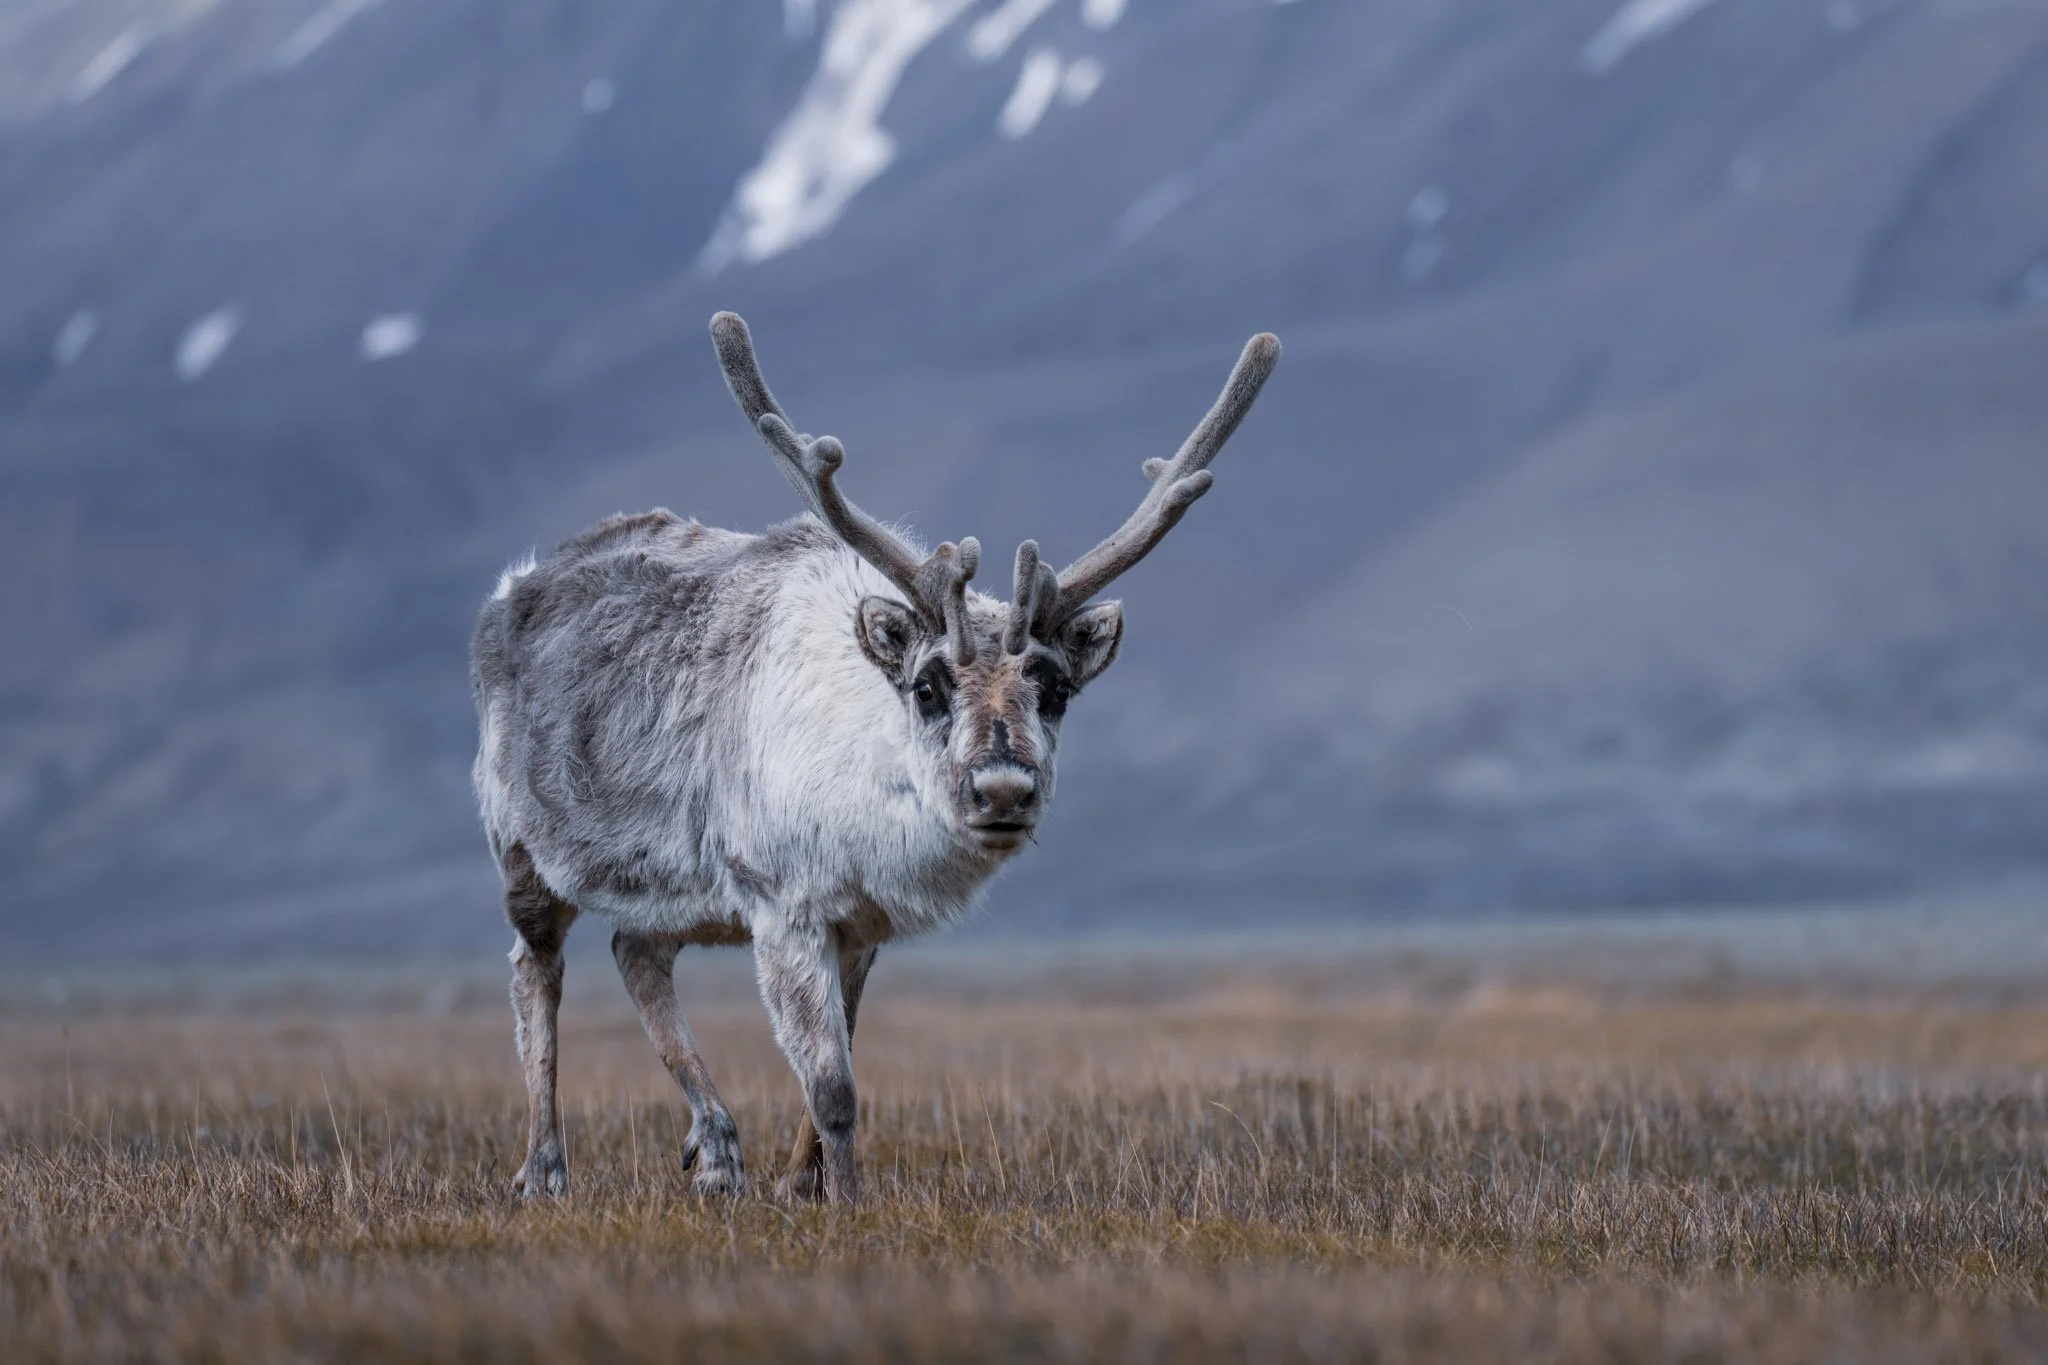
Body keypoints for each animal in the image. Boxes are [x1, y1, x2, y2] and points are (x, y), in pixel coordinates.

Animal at [470, 312, 1279, 1204]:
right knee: (535, 972)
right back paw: (544, 1167)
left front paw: (799, 1184)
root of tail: (510, 590)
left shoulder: (860, 923)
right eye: (927, 686)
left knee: (635, 951)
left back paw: (717, 1151)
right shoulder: (783, 905)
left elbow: (838, 1063)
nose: (1003, 789)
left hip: (676, 890)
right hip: (521, 850)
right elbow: (833, 1086)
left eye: (1057, 687)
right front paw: (848, 1203)